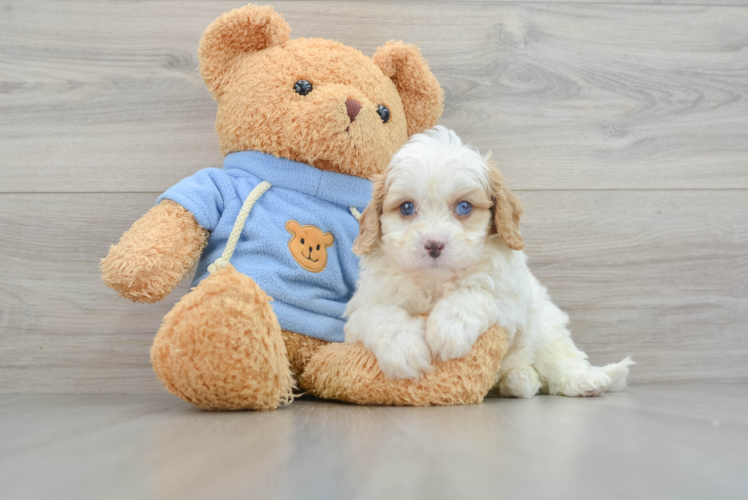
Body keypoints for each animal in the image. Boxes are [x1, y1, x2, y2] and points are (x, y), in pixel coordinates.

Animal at [344, 126, 632, 398]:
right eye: (406, 208)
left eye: (464, 207)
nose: (434, 244)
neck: (436, 283)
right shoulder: (363, 307)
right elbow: (380, 313)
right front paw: (404, 349)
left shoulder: (509, 297)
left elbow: (477, 293)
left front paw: (449, 328)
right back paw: (519, 380)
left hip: (545, 323)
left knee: (559, 358)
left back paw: (583, 380)